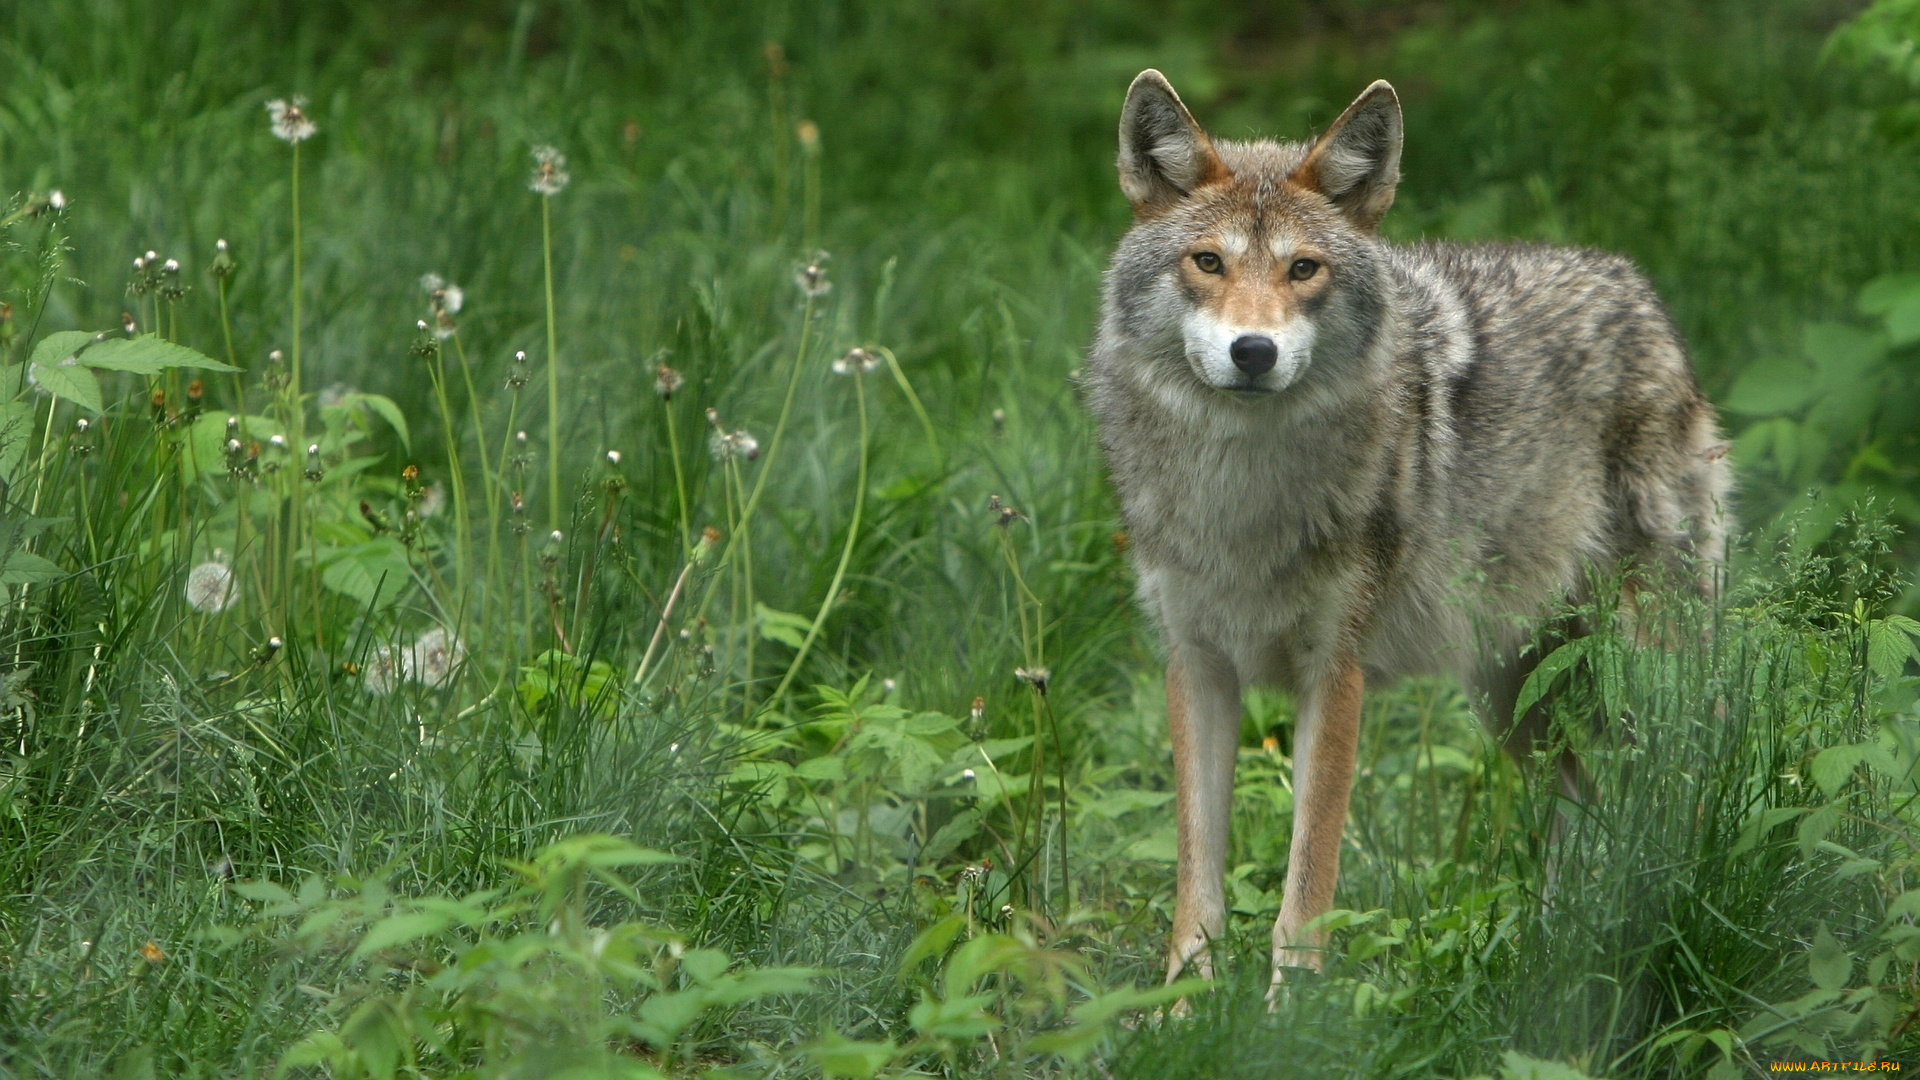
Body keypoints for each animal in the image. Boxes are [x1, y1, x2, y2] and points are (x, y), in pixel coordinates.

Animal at [1085, 71, 1731, 992]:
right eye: (1208, 262)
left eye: (1304, 269)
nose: (1254, 352)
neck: (1241, 495)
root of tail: (1639, 290)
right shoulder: (1196, 664)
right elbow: (1196, 886)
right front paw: (1180, 1009)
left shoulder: (1336, 674)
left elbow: (1306, 887)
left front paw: (1289, 1013)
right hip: (1518, 700)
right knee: (1586, 804)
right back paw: (1560, 957)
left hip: (1642, 674)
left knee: (1686, 780)